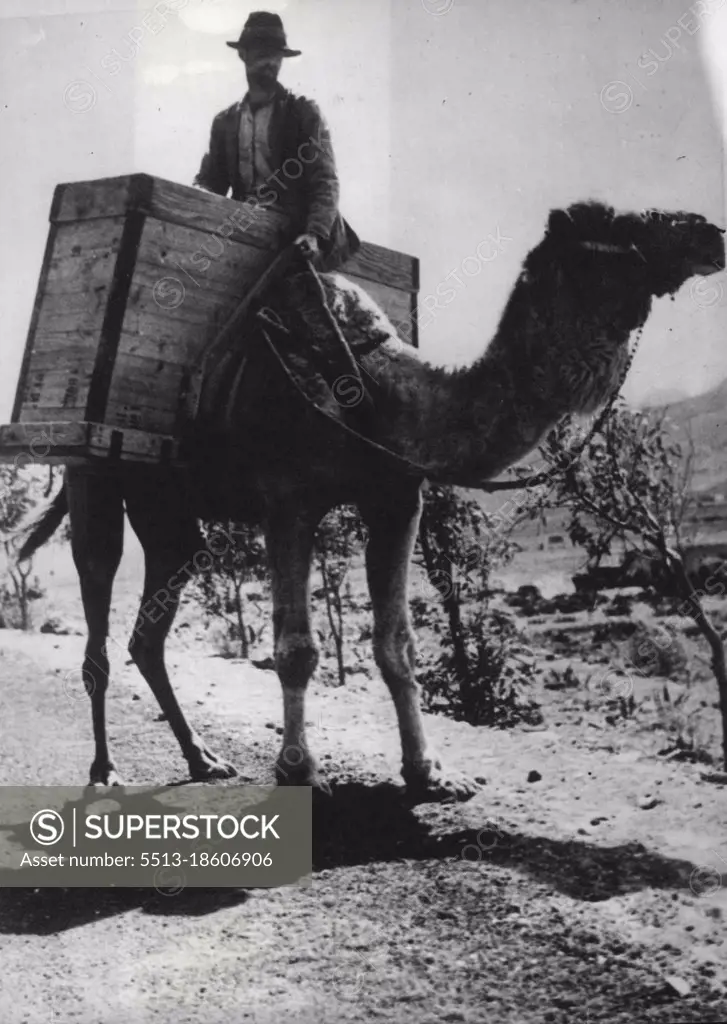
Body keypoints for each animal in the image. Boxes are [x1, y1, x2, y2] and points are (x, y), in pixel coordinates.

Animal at [17, 201, 727, 798]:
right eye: (617, 230)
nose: (708, 233)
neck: (380, 396)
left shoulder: (395, 502)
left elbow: (398, 646)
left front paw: (430, 773)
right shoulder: (290, 502)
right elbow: (297, 649)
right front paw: (299, 770)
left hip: (169, 512)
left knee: (151, 626)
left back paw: (203, 759)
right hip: (94, 475)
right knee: (99, 610)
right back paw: (105, 769)